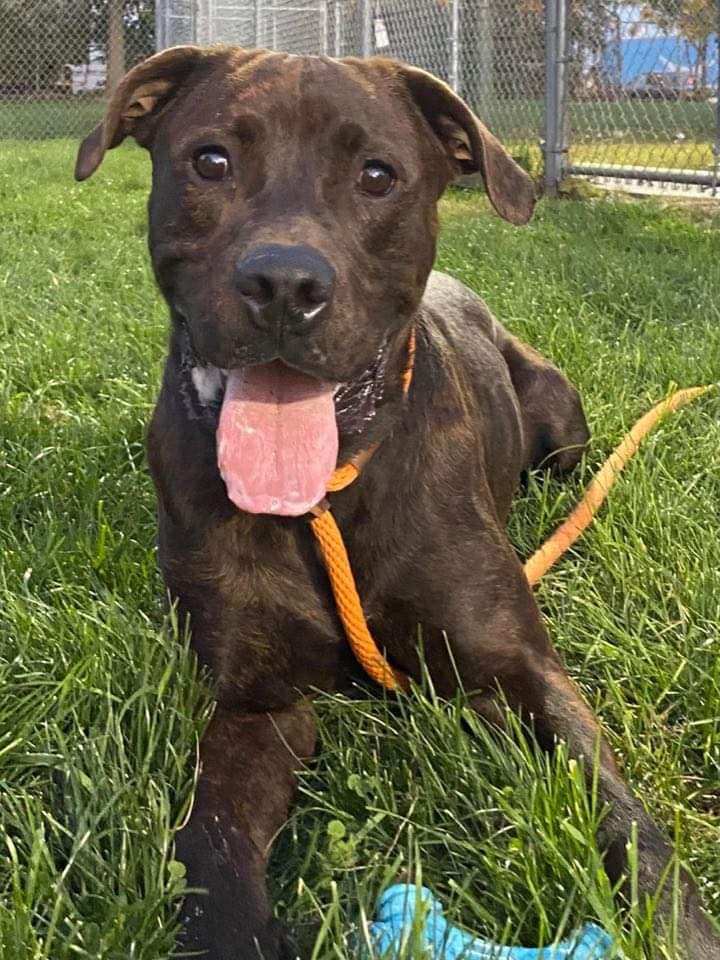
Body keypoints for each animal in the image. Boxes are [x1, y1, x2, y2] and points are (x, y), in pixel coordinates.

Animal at [74, 43, 720, 952]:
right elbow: (212, 841)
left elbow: (628, 820)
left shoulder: (521, 670)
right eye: (211, 162)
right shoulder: (254, 702)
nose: (283, 282)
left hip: (564, 426)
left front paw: (677, 929)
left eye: (378, 175)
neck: (325, 499)